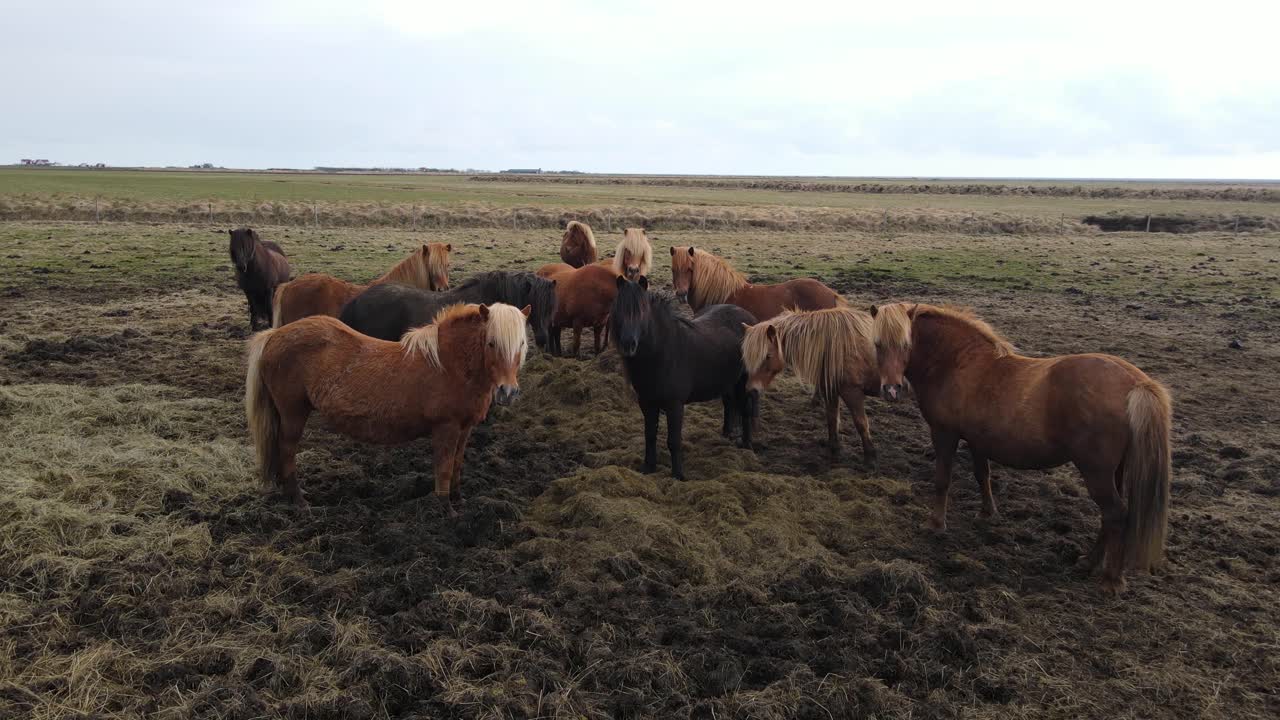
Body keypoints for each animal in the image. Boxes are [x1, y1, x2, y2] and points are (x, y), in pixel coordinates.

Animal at [245, 303, 530, 518]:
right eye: (492, 343)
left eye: (522, 344)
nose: (508, 392)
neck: (449, 365)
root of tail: (273, 335)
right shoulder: (446, 429)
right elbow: (444, 468)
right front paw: (446, 509)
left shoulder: (464, 428)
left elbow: (458, 464)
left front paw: (458, 500)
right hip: (293, 414)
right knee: (287, 451)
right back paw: (300, 502)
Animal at [611, 276, 757, 480]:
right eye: (618, 309)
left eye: (642, 310)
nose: (628, 344)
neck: (662, 353)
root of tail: (749, 318)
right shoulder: (647, 403)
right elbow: (650, 435)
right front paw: (648, 467)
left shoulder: (675, 405)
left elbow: (673, 440)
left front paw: (678, 475)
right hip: (728, 382)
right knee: (729, 404)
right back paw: (727, 434)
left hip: (743, 382)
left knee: (746, 409)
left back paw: (747, 445)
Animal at [742, 307, 880, 468]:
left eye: (768, 356)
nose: (751, 389)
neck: (836, 345)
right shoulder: (831, 391)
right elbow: (832, 419)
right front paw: (834, 453)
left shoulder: (852, 392)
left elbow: (861, 424)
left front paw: (870, 459)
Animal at [869, 302, 1172, 594]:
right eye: (877, 344)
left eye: (906, 344)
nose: (892, 390)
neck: (957, 363)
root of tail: (1136, 383)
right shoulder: (977, 440)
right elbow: (982, 475)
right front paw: (987, 513)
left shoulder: (945, 434)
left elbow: (942, 480)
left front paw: (935, 524)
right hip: (1116, 471)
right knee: (1110, 517)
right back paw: (1089, 562)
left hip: (1096, 472)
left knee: (1116, 514)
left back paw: (1111, 580)